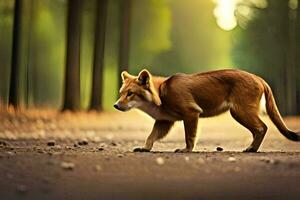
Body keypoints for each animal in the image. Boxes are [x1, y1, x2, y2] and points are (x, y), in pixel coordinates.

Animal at [113, 69, 298, 152]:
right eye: (121, 93)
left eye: (130, 93)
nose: (116, 105)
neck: (161, 93)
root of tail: (258, 77)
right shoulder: (164, 121)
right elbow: (151, 136)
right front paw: (145, 148)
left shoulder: (191, 112)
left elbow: (190, 136)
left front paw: (185, 151)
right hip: (240, 112)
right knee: (260, 128)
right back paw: (252, 148)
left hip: (240, 111)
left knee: (262, 127)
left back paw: (251, 149)